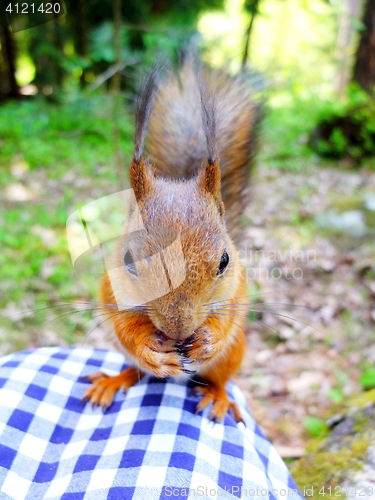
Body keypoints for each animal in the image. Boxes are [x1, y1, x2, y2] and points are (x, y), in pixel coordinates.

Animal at [83, 59, 262, 426]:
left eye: (224, 261)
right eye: (128, 261)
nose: (178, 331)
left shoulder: (236, 288)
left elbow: (228, 317)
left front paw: (208, 339)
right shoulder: (112, 290)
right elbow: (126, 328)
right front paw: (149, 348)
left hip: (233, 356)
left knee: (220, 378)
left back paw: (217, 397)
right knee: (134, 371)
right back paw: (114, 381)